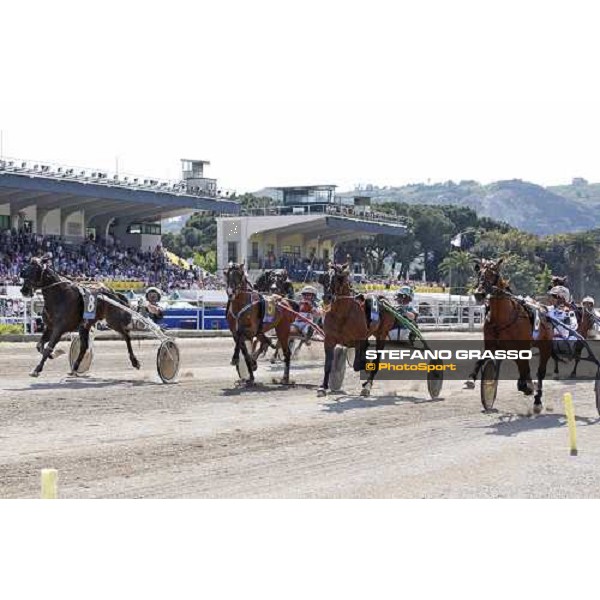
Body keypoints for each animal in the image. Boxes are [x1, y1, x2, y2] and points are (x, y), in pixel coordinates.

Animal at [468, 255, 552, 414]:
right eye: (479, 273)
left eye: (494, 274)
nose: (479, 293)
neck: (501, 319)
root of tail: (544, 308)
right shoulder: (491, 345)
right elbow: (481, 360)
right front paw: (471, 379)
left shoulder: (522, 347)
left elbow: (527, 369)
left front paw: (528, 387)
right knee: (522, 366)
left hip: (545, 347)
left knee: (540, 372)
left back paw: (536, 400)